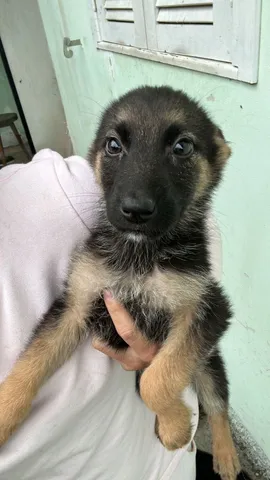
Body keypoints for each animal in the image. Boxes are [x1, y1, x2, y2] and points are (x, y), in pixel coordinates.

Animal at [0, 86, 240, 480]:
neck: (140, 253)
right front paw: (4, 411)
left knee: (216, 400)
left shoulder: (207, 309)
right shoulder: (76, 302)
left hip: (208, 358)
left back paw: (225, 453)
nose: (136, 210)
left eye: (182, 147)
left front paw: (175, 426)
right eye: (113, 146)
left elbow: (157, 381)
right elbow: (30, 364)